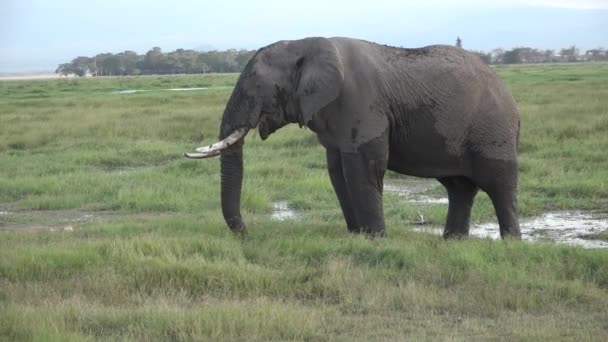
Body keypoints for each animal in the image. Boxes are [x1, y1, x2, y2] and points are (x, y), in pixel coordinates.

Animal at [186, 36, 524, 240]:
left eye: (256, 86)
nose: (245, 233)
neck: (305, 44)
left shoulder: (360, 103)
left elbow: (363, 168)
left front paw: (375, 239)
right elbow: (337, 172)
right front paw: (357, 236)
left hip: (493, 129)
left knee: (499, 185)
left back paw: (511, 243)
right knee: (459, 187)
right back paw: (452, 241)